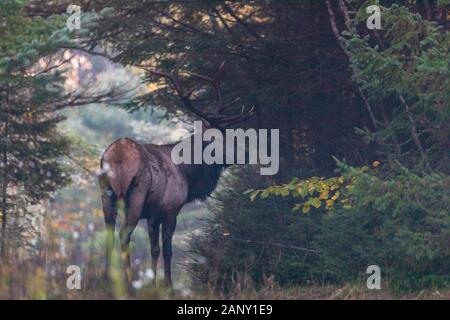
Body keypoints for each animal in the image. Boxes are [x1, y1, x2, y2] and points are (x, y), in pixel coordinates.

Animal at [99, 60, 253, 288]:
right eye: (218, 139)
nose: (246, 153)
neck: (188, 176)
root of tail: (116, 155)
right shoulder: (169, 208)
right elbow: (166, 250)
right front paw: (166, 285)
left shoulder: (153, 214)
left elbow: (154, 249)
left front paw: (154, 283)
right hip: (135, 196)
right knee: (124, 235)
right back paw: (128, 282)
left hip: (105, 193)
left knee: (109, 233)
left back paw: (106, 279)